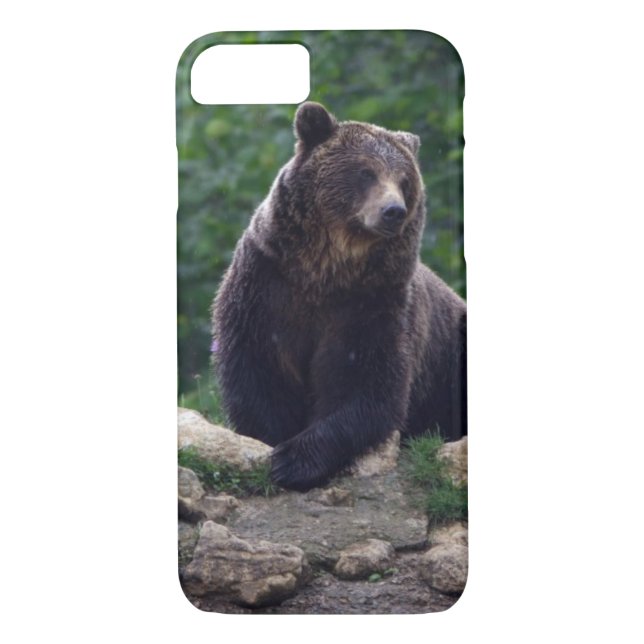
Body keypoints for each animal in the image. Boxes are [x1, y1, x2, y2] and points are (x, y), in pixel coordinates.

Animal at [212, 102, 466, 492]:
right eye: (365, 172)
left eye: (404, 180)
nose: (393, 211)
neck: (326, 271)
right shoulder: (267, 286)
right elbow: (258, 371)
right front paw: (273, 443)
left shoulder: (373, 303)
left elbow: (367, 385)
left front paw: (294, 460)